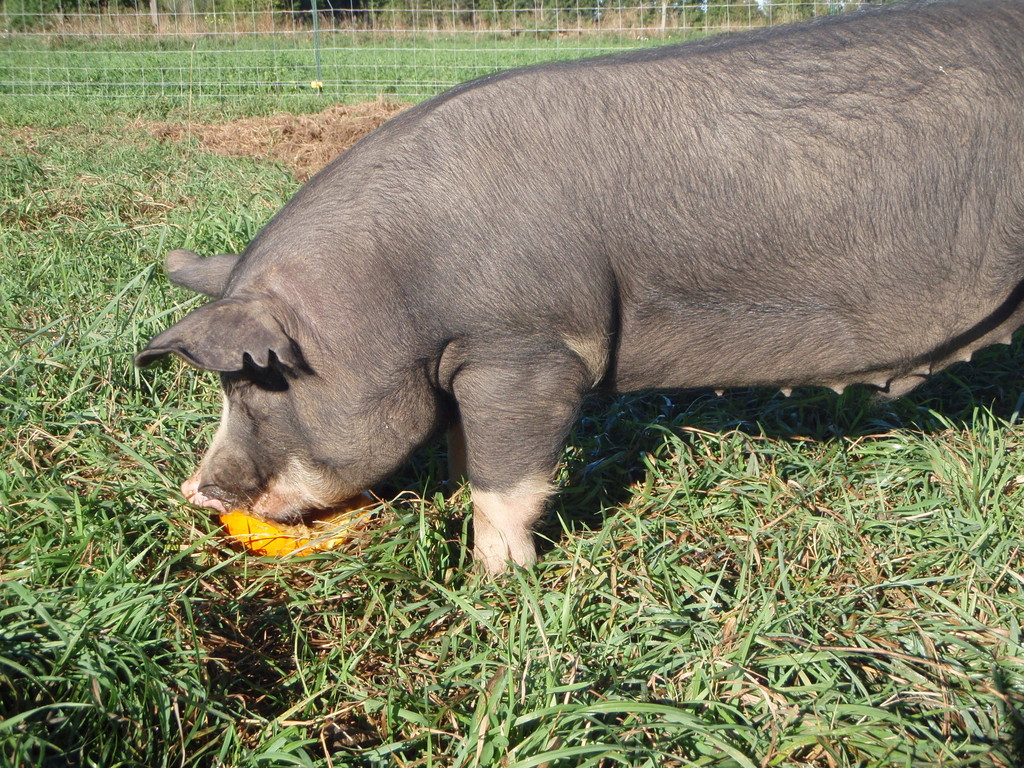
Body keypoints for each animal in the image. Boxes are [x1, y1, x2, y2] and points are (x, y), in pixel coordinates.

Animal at [137, 0, 1024, 574]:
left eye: (257, 383)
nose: (198, 491)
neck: (395, 292)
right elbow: (465, 454)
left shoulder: (531, 351)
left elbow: (507, 481)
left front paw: (495, 585)